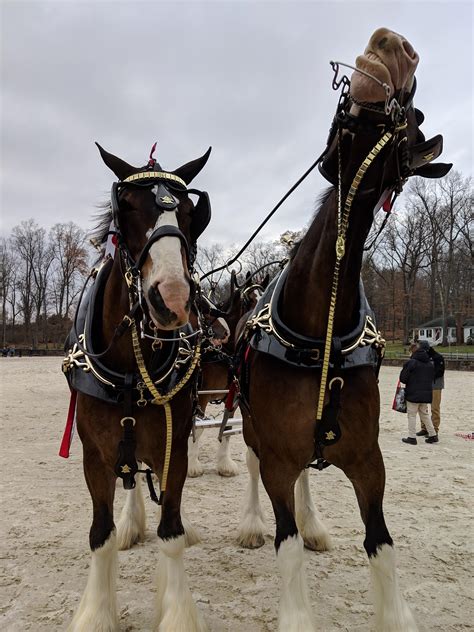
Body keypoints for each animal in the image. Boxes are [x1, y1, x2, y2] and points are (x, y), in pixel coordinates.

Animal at [237, 27, 452, 628]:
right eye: (348, 115)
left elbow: (382, 545)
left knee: (306, 477)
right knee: (252, 465)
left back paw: (313, 523)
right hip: (253, 428)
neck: (322, 331)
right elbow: (284, 541)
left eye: (408, 122)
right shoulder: (277, 450)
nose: (388, 48)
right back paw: (251, 524)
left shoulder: (366, 458)